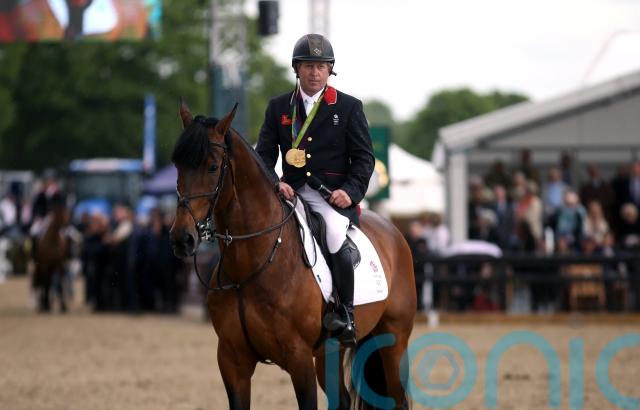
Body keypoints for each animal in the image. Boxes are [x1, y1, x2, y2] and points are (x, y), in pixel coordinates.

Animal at [169, 101, 416, 409]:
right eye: (177, 165)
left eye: (213, 167)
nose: (182, 238)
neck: (249, 266)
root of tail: (393, 231)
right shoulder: (231, 360)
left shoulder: (298, 358)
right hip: (329, 352)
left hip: (392, 341)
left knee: (398, 399)